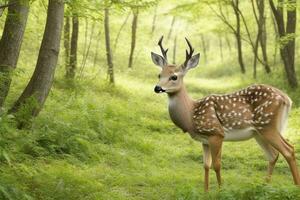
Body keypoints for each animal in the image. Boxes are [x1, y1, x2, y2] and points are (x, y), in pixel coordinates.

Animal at [151, 35, 300, 191]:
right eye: (159, 74)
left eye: (174, 77)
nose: (157, 88)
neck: (191, 114)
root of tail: (287, 99)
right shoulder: (204, 140)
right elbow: (206, 165)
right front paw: (206, 191)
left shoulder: (217, 133)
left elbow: (217, 165)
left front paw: (220, 190)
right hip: (259, 132)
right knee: (273, 155)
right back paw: (264, 186)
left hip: (267, 125)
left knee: (288, 150)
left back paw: (294, 186)